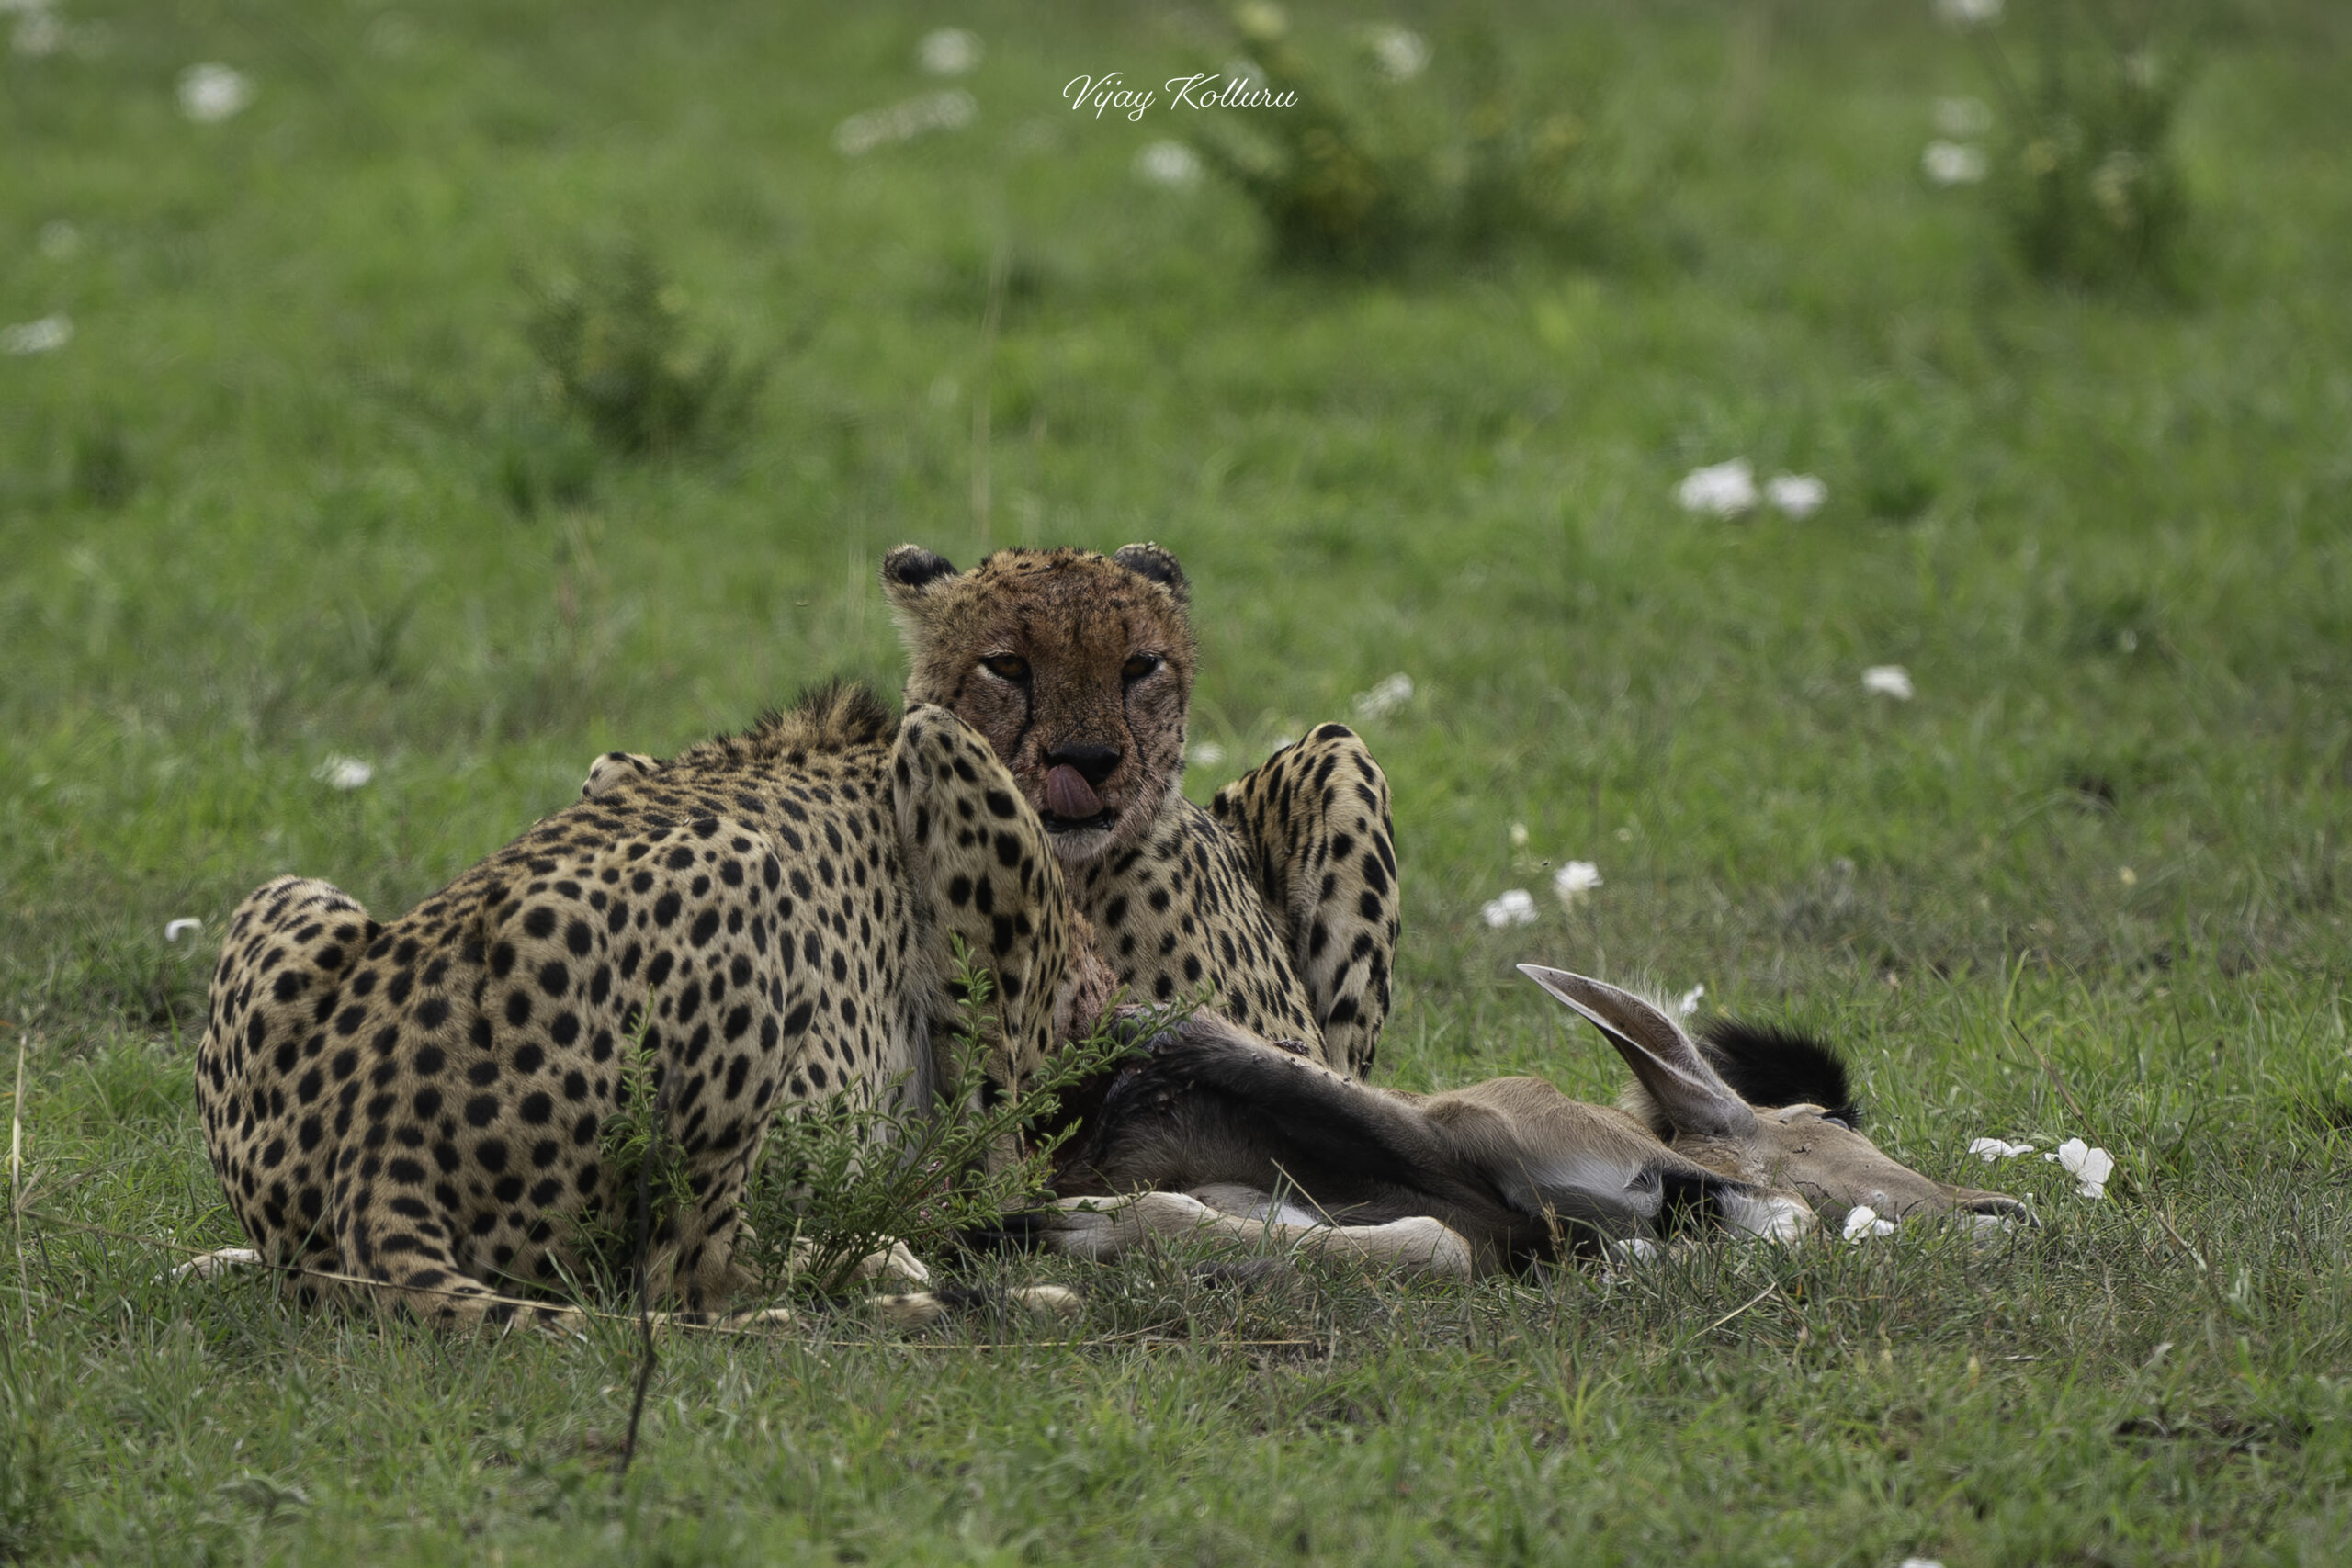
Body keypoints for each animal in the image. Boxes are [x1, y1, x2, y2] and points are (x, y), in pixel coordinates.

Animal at [193, 684, 1076, 1333]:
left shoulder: (611, 764)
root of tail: (375, 1139)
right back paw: (877, 1272)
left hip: (287, 896)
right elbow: (994, 1159)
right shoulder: (952, 764)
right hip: (746, 869)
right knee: (689, 1280)